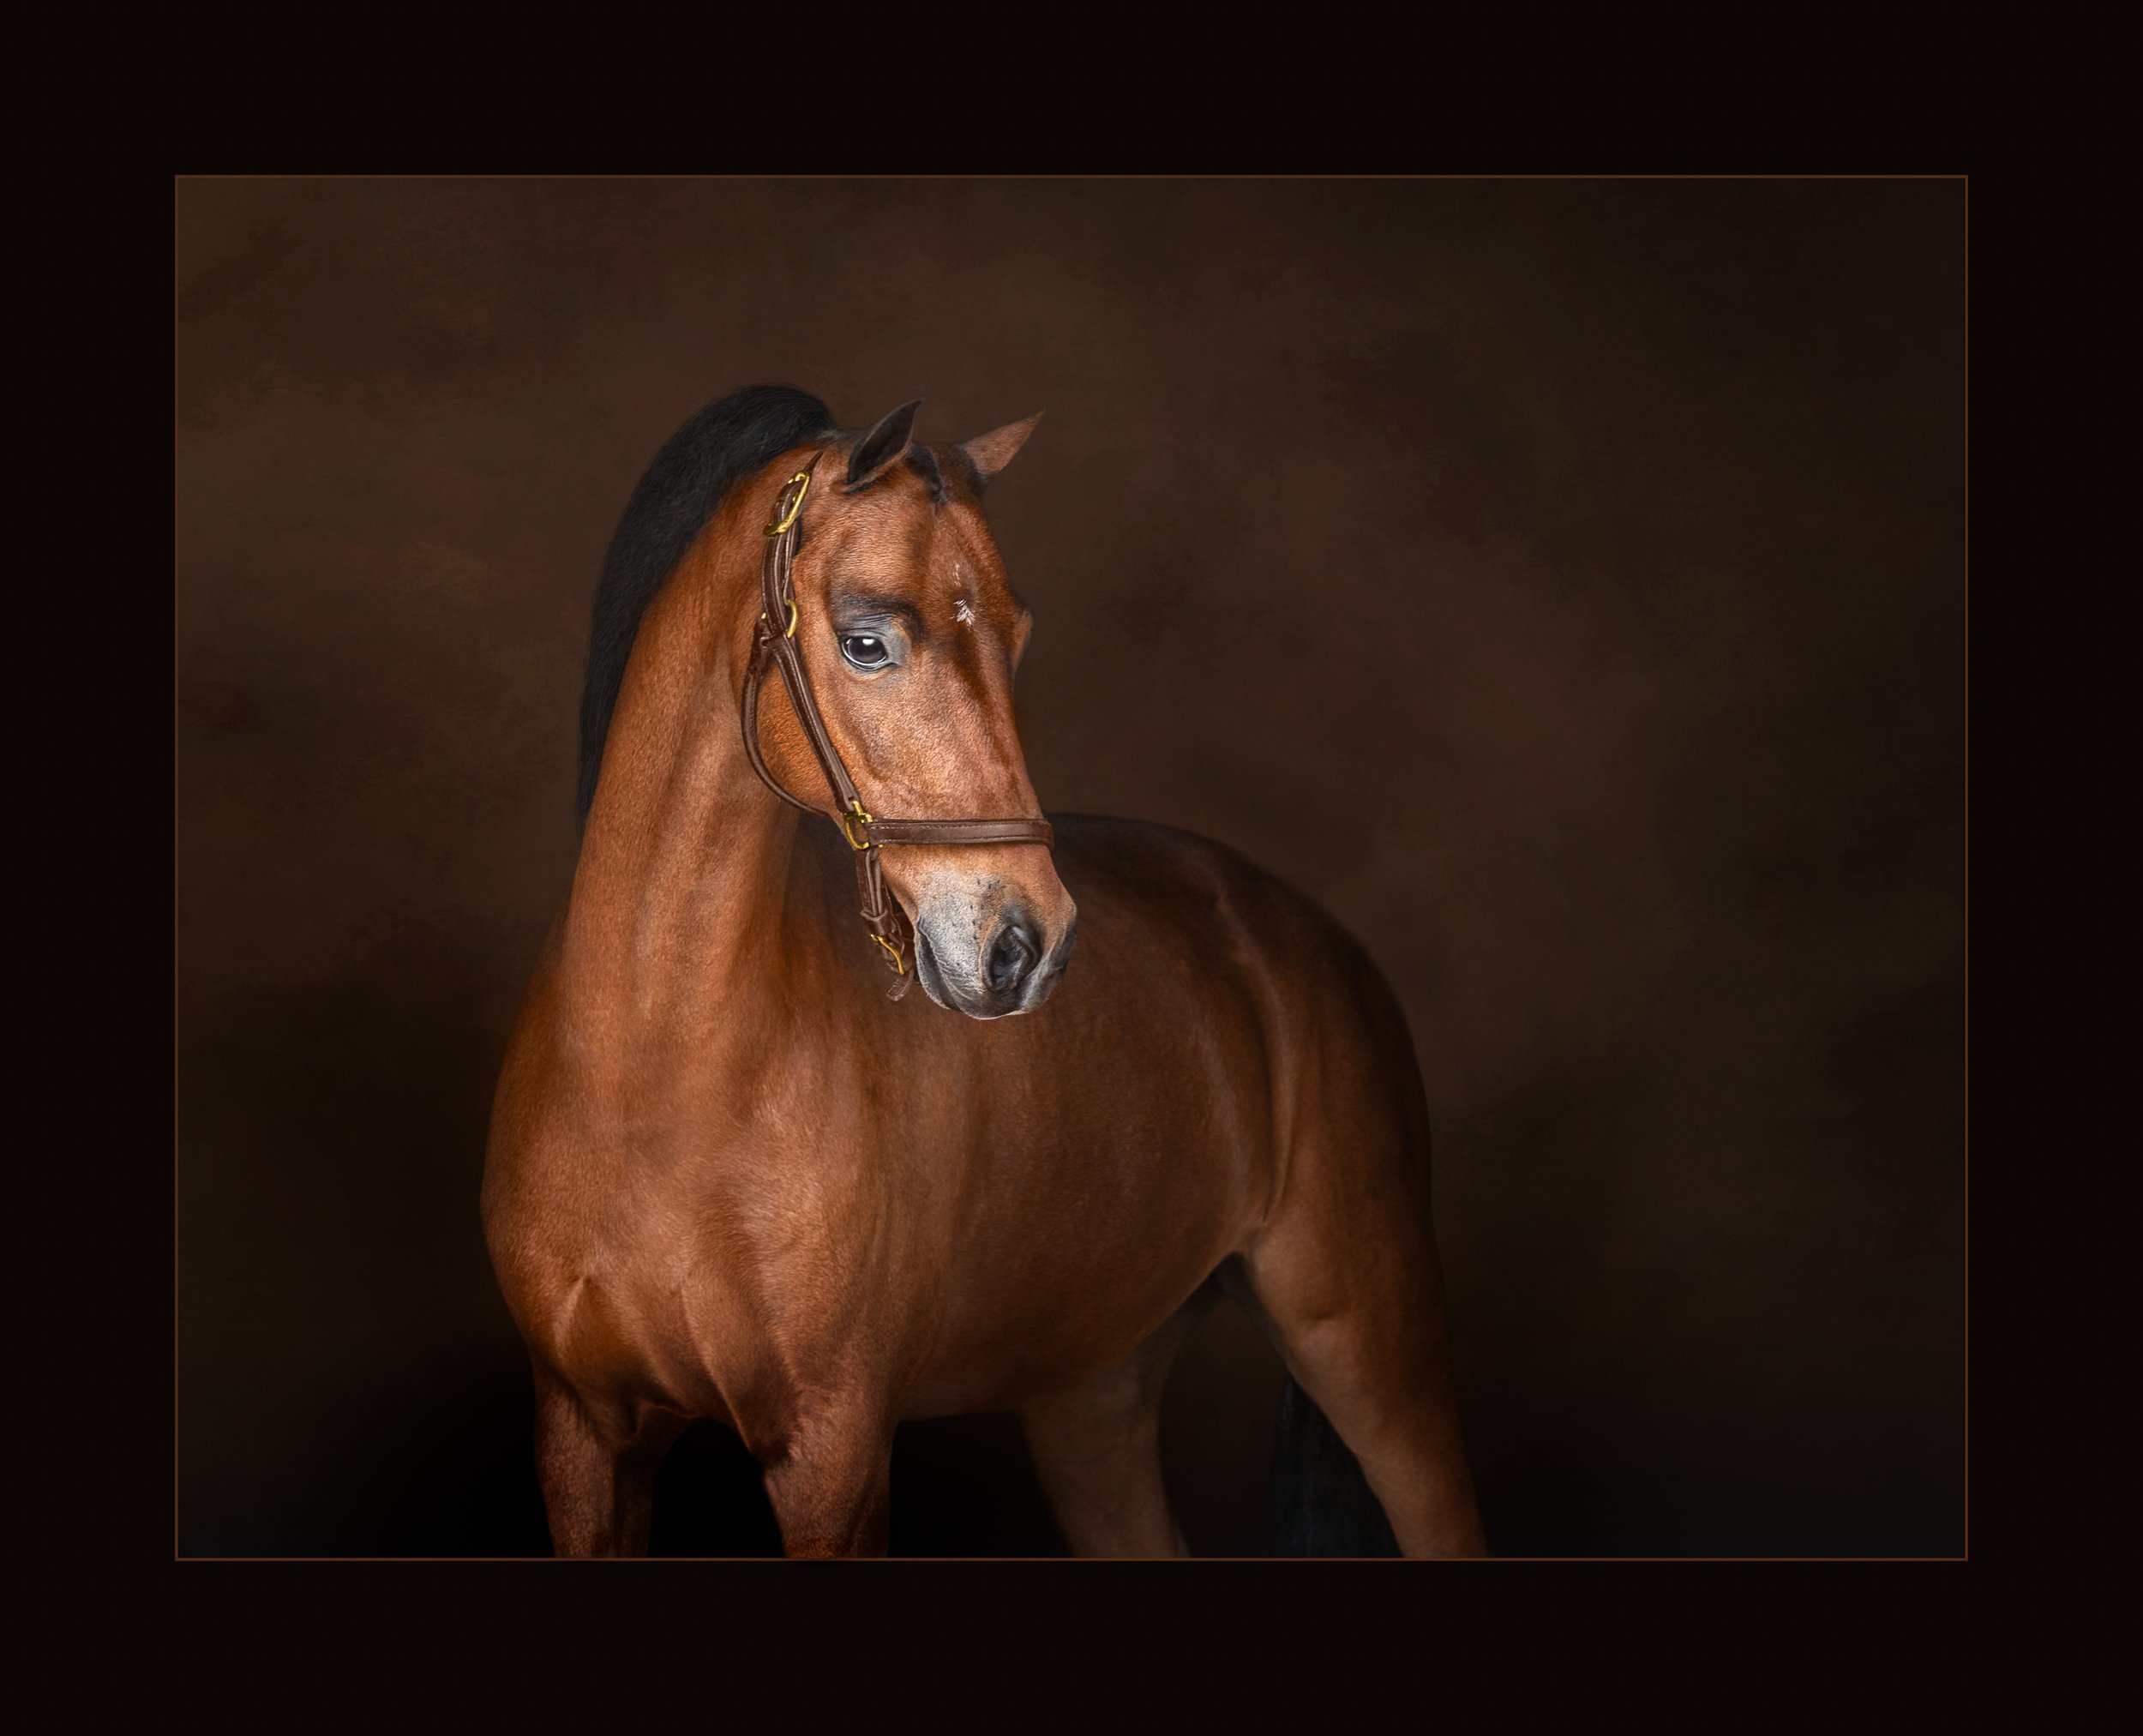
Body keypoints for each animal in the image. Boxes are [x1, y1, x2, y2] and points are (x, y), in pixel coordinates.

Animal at [481, 386, 1486, 1558]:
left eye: (1017, 635)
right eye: (866, 641)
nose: (1025, 944)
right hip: (1092, 1392)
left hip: (1372, 1353)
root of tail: (1304, 938)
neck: (654, 1073)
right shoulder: (582, 1439)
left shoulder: (832, 1453)